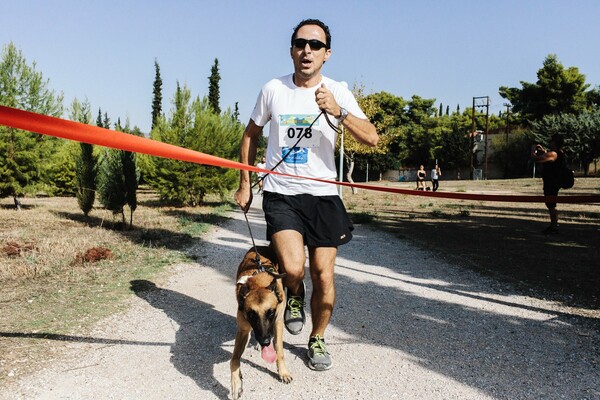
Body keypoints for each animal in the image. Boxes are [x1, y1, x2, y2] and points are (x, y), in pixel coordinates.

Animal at [230, 245, 292, 398]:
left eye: (271, 312)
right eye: (251, 315)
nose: (265, 341)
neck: (258, 283)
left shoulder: (277, 322)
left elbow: (279, 350)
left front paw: (283, 372)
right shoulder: (243, 330)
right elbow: (234, 359)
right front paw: (236, 383)